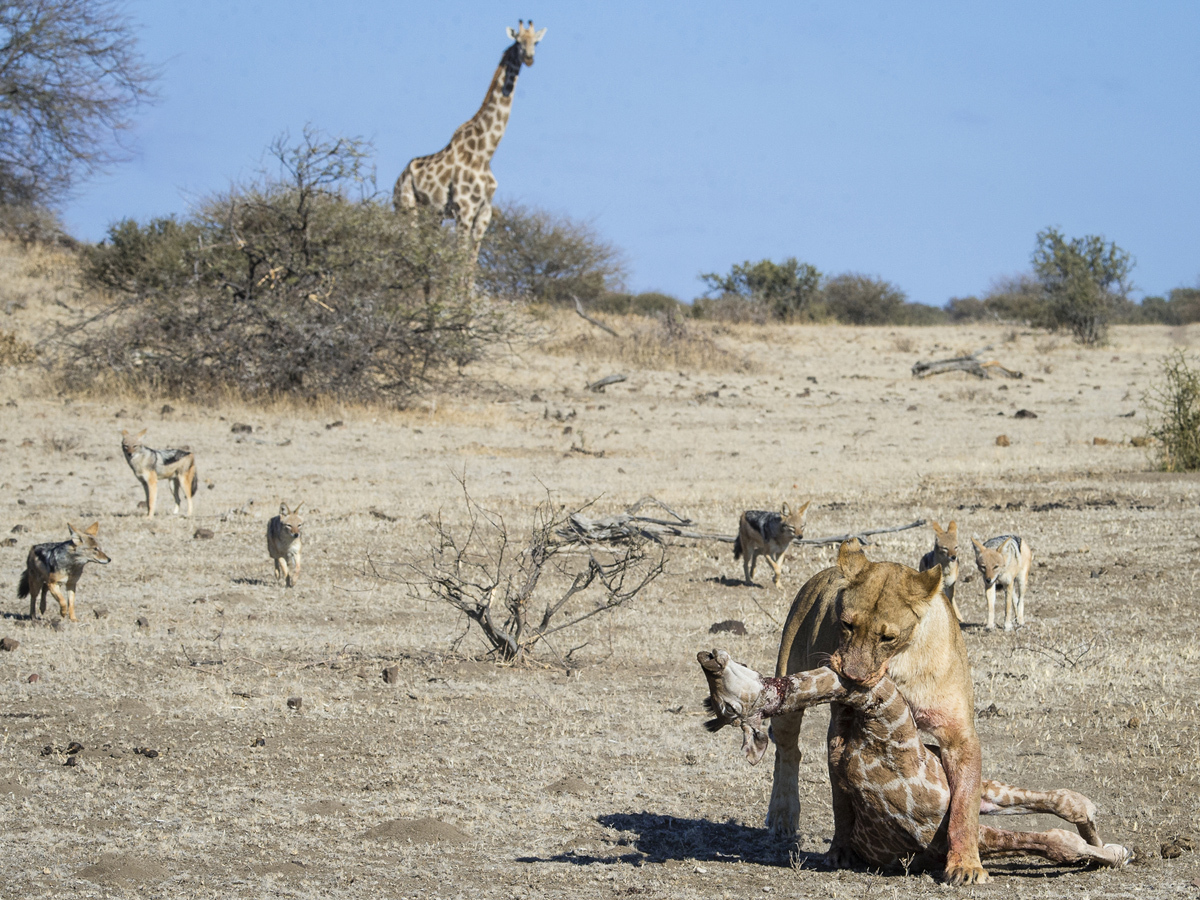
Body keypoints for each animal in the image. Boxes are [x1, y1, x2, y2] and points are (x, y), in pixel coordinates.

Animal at [396, 22, 547, 260]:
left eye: (536, 42)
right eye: (519, 41)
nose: (530, 57)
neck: (485, 153)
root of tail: (399, 177)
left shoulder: (484, 213)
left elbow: (471, 263)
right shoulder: (464, 209)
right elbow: (459, 259)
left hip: (433, 214)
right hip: (406, 206)